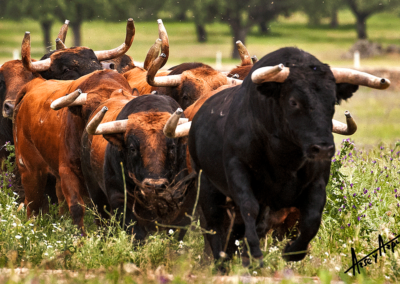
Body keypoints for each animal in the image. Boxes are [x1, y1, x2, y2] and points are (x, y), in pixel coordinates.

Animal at [13, 70, 134, 232]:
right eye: (89, 111)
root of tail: (33, 85)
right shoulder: (68, 170)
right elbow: (77, 207)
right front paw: (80, 236)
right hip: (30, 169)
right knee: (33, 205)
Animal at [189, 47, 360, 266]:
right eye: (293, 102)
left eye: (332, 102)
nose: (323, 148)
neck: (284, 158)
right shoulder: (238, 172)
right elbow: (248, 208)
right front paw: (254, 254)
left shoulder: (317, 182)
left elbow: (312, 219)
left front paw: (292, 252)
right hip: (208, 187)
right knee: (214, 227)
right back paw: (221, 262)